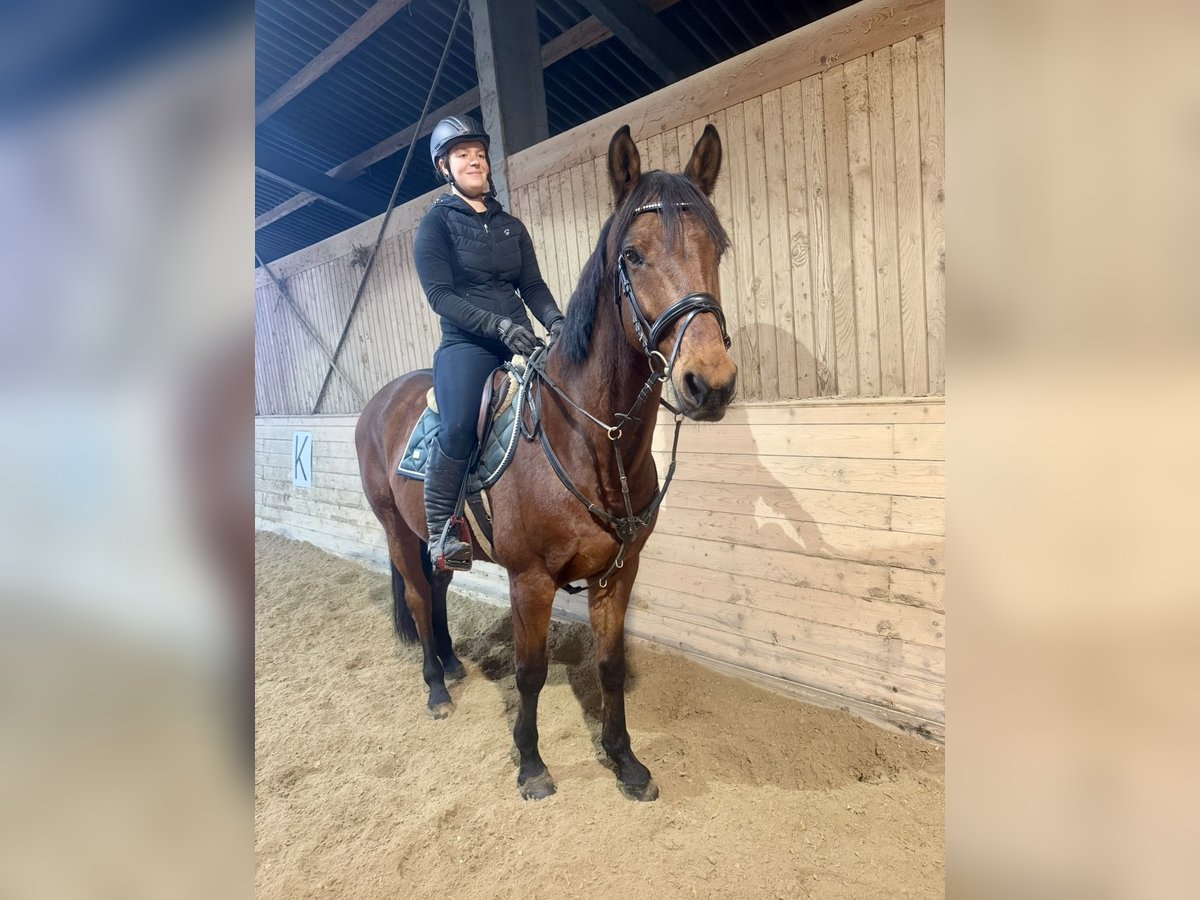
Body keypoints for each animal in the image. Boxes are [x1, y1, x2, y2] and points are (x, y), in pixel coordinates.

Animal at [355, 123, 737, 801]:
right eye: (632, 256)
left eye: (716, 248)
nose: (709, 384)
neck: (590, 440)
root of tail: (380, 401)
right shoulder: (529, 580)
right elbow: (529, 672)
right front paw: (531, 765)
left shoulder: (617, 574)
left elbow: (609, 665)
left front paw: (625, 761)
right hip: (396, 528)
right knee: (422, 601)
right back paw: (435, 688)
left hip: (439, 539)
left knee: (438, 587)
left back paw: (451, 664)